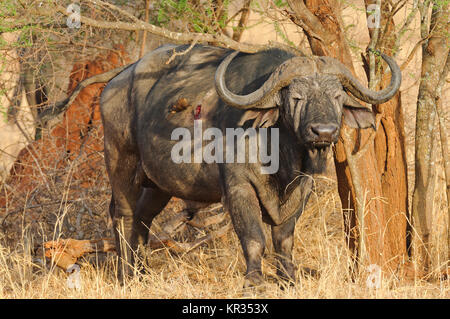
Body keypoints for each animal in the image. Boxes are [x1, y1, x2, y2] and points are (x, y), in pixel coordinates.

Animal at [101, 44, 400, 288]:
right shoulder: (238, 188)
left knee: (142, 217)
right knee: (123, 215)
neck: (280, 153)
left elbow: (284, 239)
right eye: (297, 97)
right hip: (121, 161)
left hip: (158, 185)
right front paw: (254, 281)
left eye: (337, 96)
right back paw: (125, 275)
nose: (323, 131)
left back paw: (142, 273)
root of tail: (113, 84)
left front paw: (289, 279)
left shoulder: (302, 188)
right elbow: (255, 237)